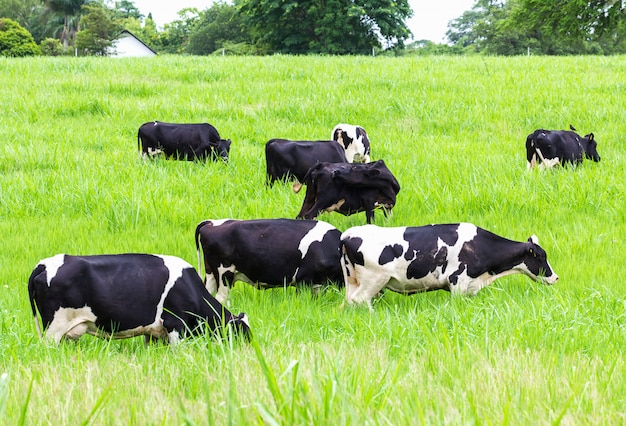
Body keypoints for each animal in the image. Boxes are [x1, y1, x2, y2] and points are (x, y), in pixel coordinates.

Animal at [27, 255, 249, 344]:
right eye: (243, 333)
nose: (249, 350)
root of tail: (43, 264)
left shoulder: (154, 332)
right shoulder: (176, 324)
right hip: (53, 329)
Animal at [194, 220, 342, 302]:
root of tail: (211, 223)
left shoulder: (319, 283)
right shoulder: (304, 280)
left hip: (211, 273)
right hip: (224, 273)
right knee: (222, 298)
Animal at [338, 223, 560, 310]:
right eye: (542, 256)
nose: (556, 277)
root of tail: (348, 234)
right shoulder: (458, 282)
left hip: (353, 280)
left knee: (349, 301)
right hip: (373, 280)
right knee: (361, 300)